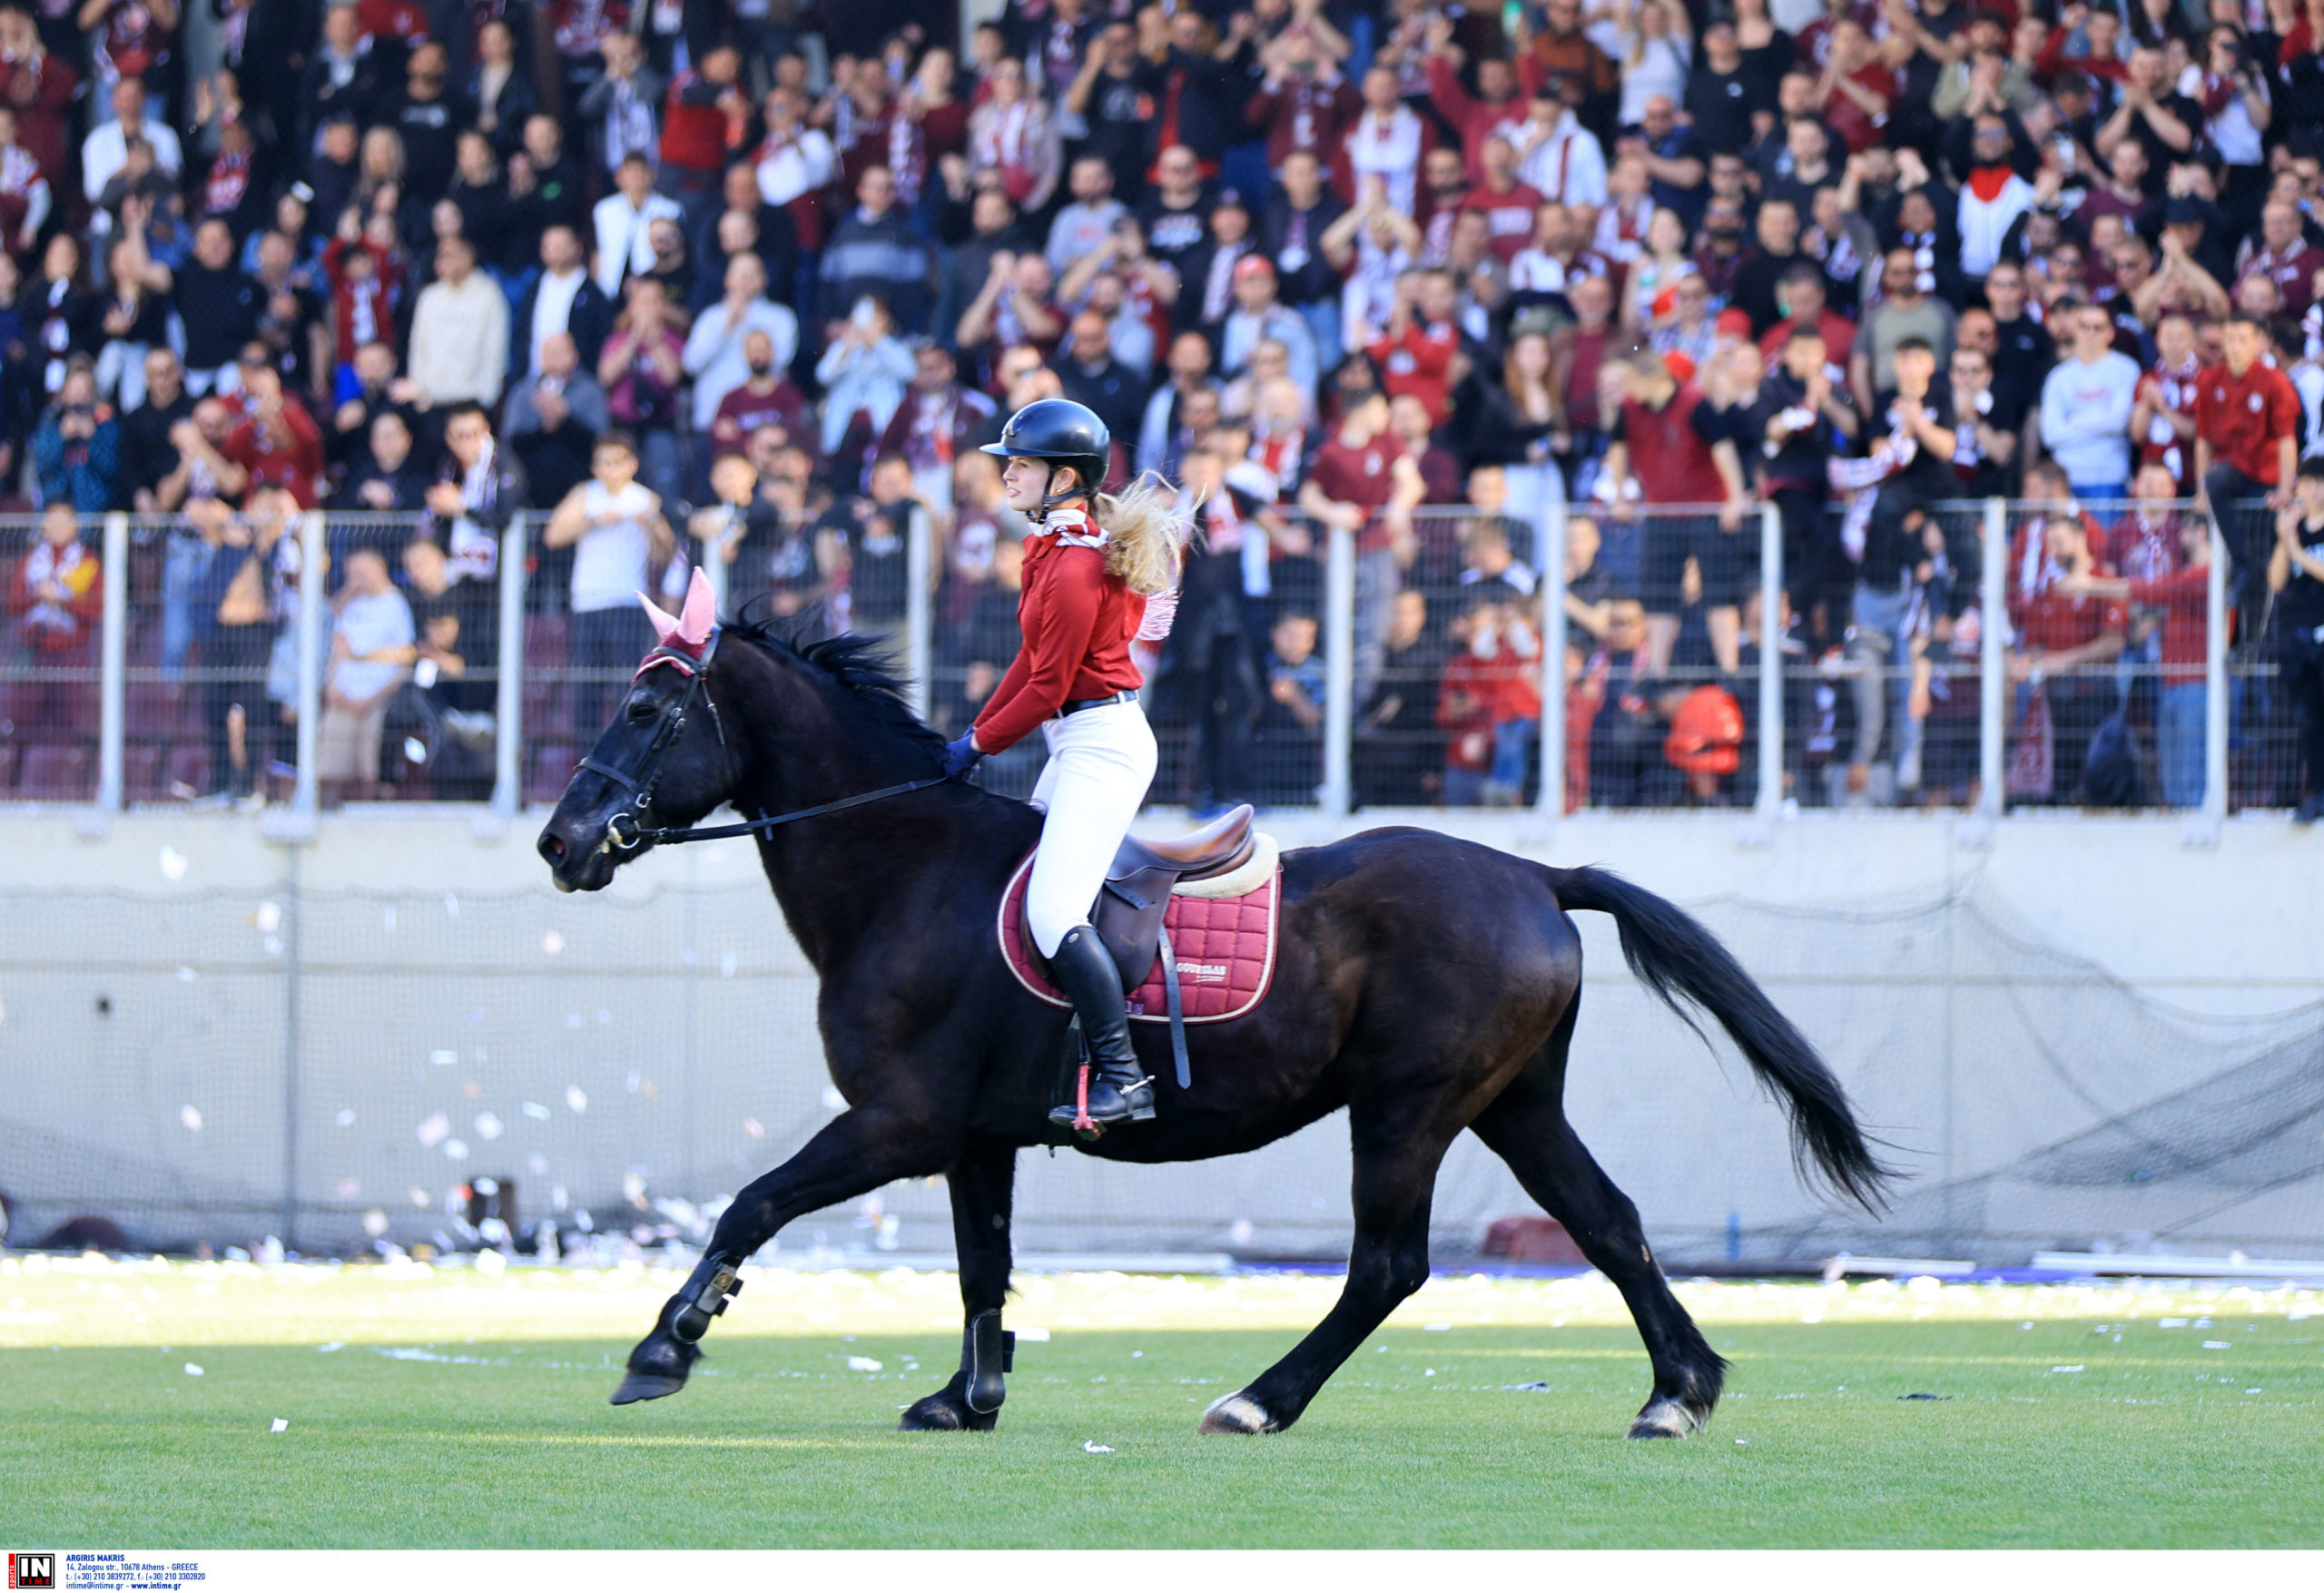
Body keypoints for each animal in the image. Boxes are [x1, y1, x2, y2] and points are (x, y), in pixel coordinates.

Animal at [535, 603, 1893, 1440]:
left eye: (648, 715)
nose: (560, 841)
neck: (902, 865)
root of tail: (1528, 872)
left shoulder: (898, 1120)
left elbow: (751, 1203)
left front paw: (663, 1347)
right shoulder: (975, 1136)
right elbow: (983, 1266)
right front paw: (968, 1396)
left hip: (1409, 1107)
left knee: (1389, 1264)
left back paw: (1259, 1399)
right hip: (1512, 1102)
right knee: (1609, 1224)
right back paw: (1680, 1391)